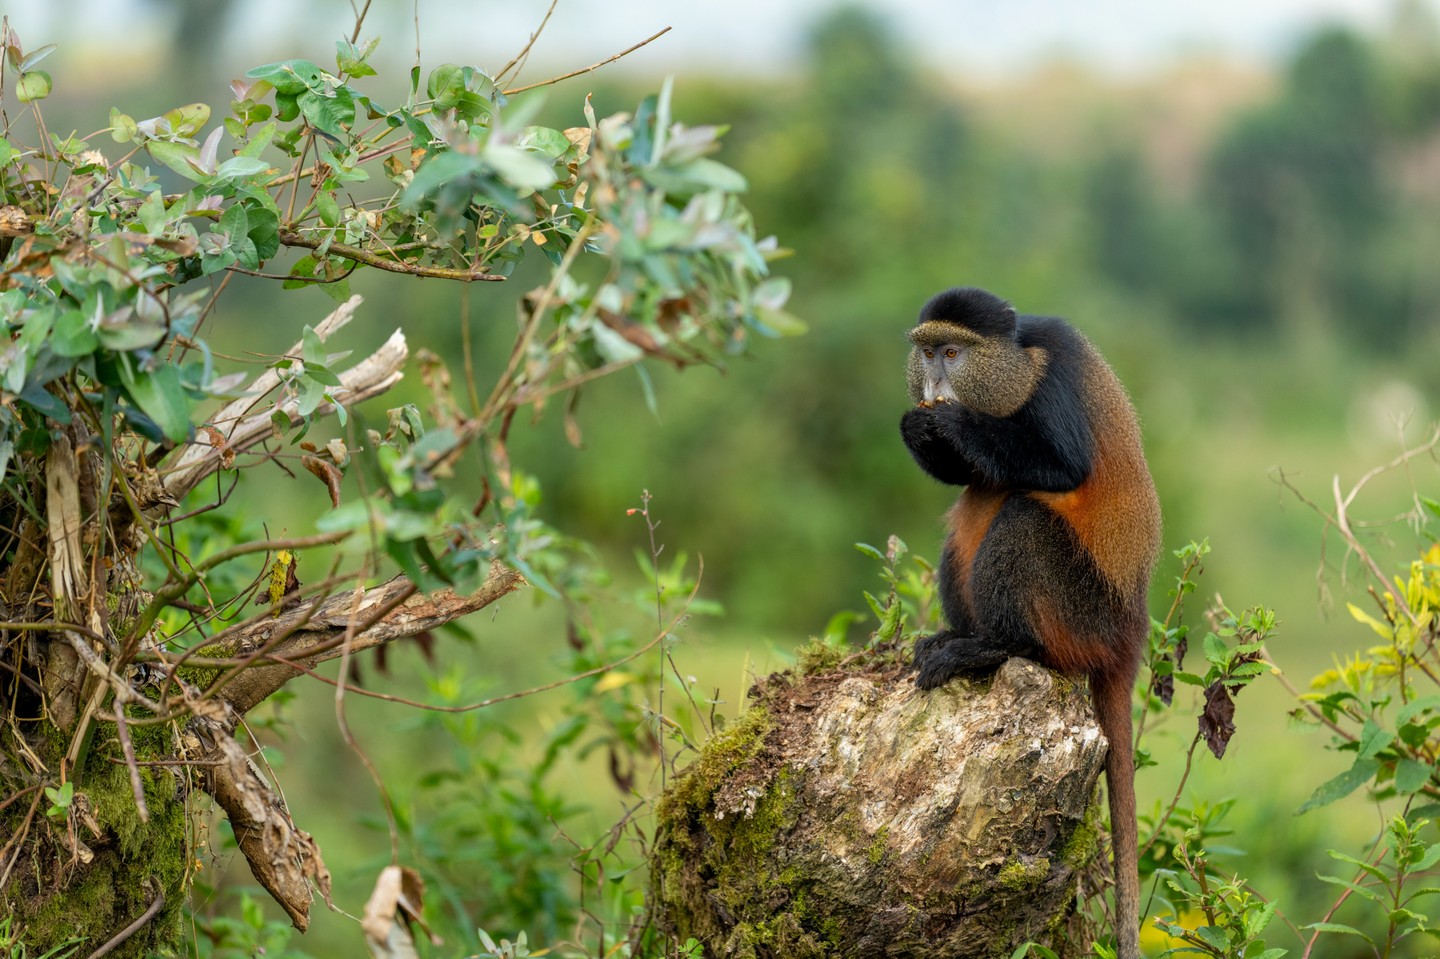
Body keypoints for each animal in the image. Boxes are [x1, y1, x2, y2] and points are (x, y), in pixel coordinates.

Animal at [898, 286, 1160, 959]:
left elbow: (1061, 466)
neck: (1017, 360)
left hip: (1081, 610)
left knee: (1022, 514)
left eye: (954, 353)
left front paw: (954, 423)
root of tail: (1130, 634)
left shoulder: (1056, 376)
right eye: (928, 352)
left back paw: (995, 646)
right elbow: (967, 474)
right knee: (971, 511)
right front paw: (917, 425)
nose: (935, 380)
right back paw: (957, 636)